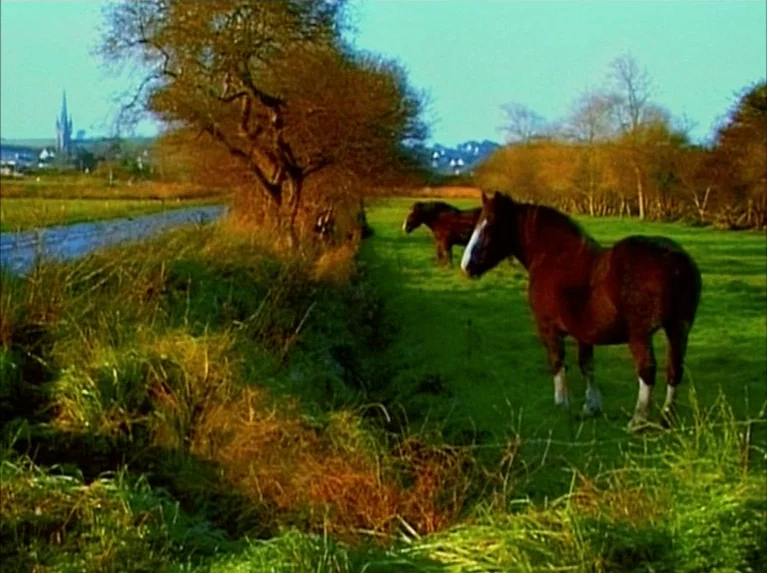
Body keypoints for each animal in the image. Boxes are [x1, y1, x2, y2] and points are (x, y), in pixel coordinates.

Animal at [460, 191, 702, 431]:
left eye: (491, 223)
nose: (466, 266)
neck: (553, 255)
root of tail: (673, 260)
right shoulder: (585, 333)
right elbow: (587, 366)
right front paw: (591, 406)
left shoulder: (548, 328)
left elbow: (557, 362)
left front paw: (561, 404)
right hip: (678, 328)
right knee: (674, 370)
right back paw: (667, 417)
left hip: (640, 335)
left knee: (647, 371)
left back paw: (638, 420)